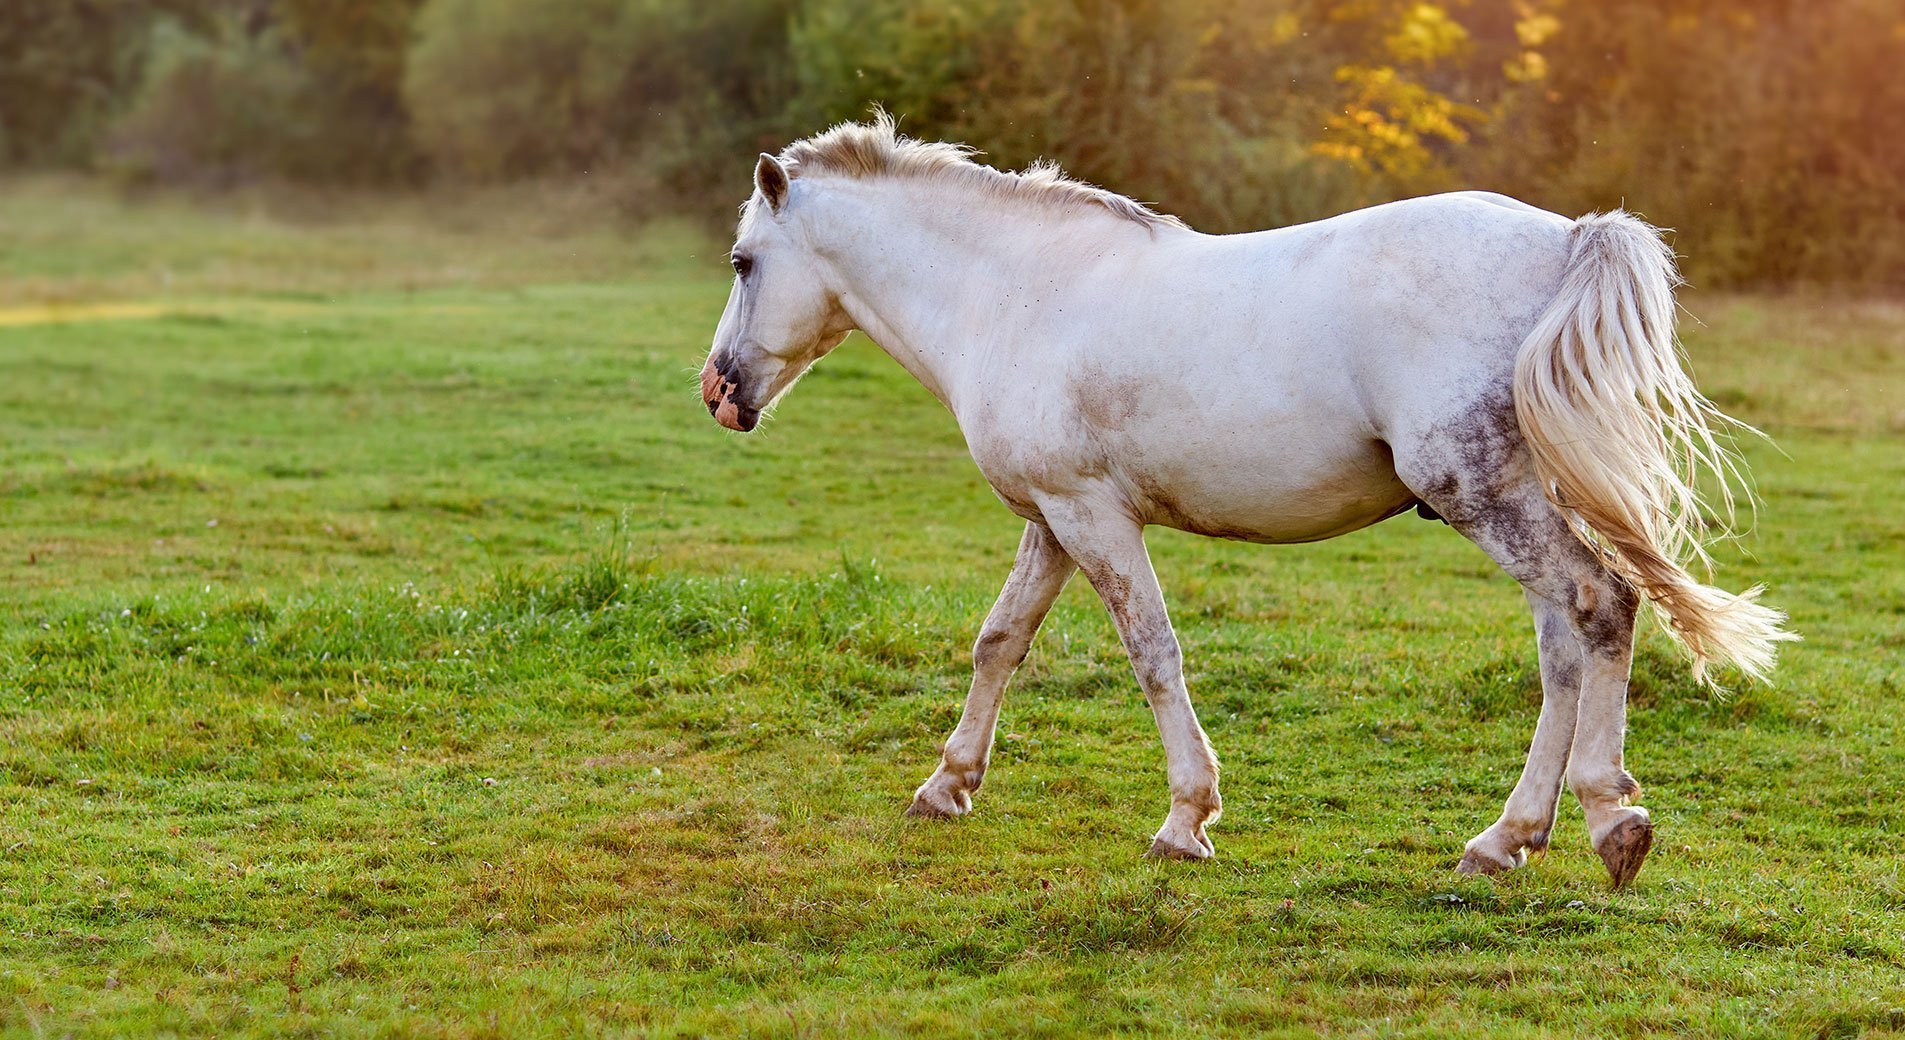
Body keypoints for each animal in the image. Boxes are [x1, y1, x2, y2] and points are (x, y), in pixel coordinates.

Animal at [697, 115, 1793, 886]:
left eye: (744, 263)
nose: (718, 391)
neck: (1015, 295)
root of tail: (1568, 236)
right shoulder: (1051, 520)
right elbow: (998, 642)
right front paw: (947, 785)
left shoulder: (1094, 518)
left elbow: (1152, 652)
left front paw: (1187, 819)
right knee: (1568, 639)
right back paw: (1512, 837)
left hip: (1480, 493)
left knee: (1599, 605)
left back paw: (1606, 819)